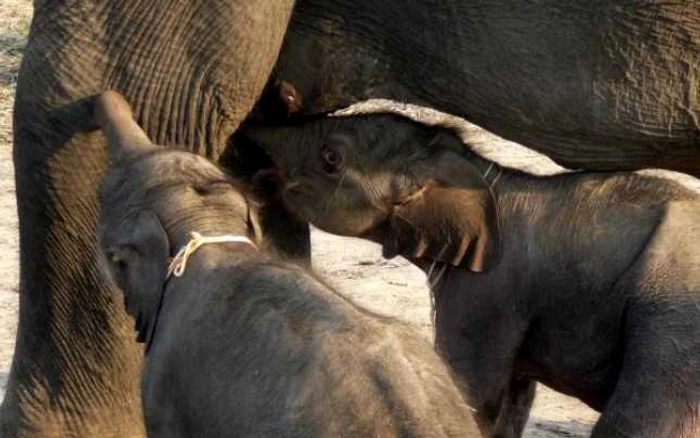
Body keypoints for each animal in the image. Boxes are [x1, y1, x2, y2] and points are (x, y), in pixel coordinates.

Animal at [243, 114, 700, 438]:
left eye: (330, 158)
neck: (484, 171)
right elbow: (511, 399)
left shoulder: (488, 290)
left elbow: (474, 389)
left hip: (671, 318)